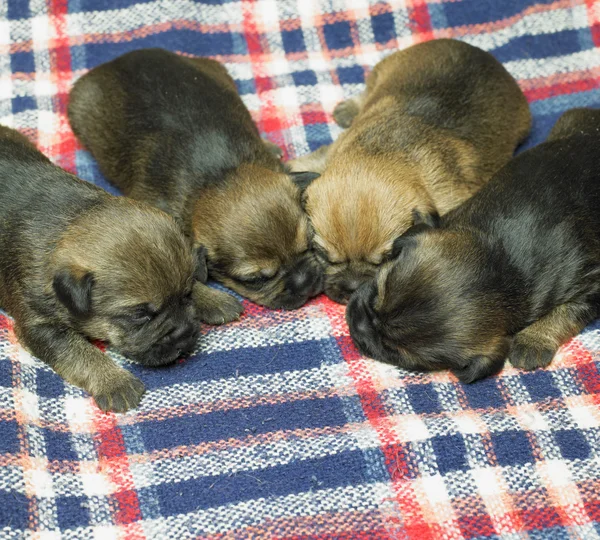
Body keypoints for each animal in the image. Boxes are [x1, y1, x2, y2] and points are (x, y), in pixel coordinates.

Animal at [67, 50, 324, 312]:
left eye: (309, 244)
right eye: (254, 279)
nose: (305, 283)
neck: (219, 176)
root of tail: (117, 60)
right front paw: (215, 302)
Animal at [292, 39, 532, 304]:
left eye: (387, 258)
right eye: (324, 255)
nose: (352, 287)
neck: (382, 155)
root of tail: (481, 54)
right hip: (383, 70)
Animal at [344, 107, 600, 382]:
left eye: (392, 351)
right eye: (375, 295)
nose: (356, 325)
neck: (502, 265)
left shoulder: (591, 285)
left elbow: (567, 312)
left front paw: (533, 340)